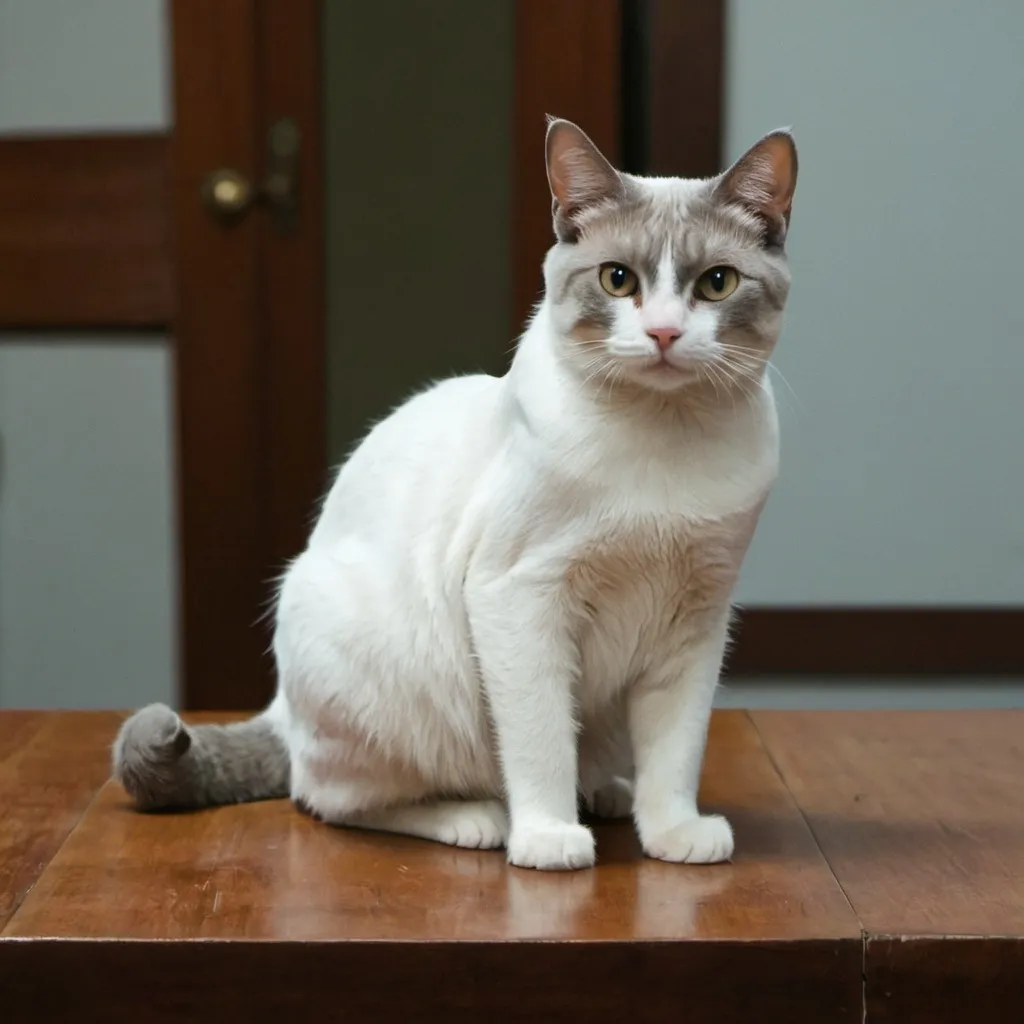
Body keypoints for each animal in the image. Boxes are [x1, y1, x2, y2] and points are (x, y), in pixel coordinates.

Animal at [114, 117, 798, 872]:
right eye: (618, 280)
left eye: (717, 283)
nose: (665, 332)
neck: (663, 442)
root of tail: (280, 707)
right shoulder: (520, 594)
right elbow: (540, 741)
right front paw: (549, 839)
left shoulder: (695, 621)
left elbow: (676, 752)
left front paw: (674, 835)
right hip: (384, 681)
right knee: (332, 798)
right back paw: (477, 819)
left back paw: (607, 793)